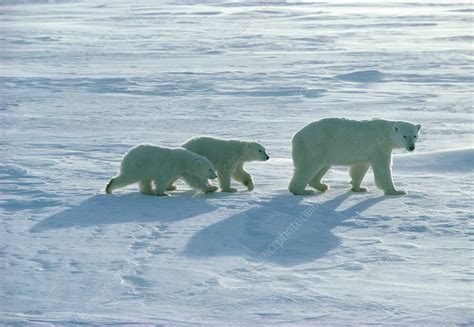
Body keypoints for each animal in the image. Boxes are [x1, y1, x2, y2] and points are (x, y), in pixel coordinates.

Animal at [286, 119, 420, 196]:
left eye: (414, 135)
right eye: (404, 136)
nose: (411, 147)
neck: (385, 133)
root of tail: (296, 136)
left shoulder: (367, 151)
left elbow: (359, 168)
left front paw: (359, 188)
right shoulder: (379, 146)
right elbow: (384, 168)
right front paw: (397, 191)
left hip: (325, 151)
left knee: (323, 166)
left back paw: (322, 186)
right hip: (315, 146)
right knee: (308, 166)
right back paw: (303, 191)